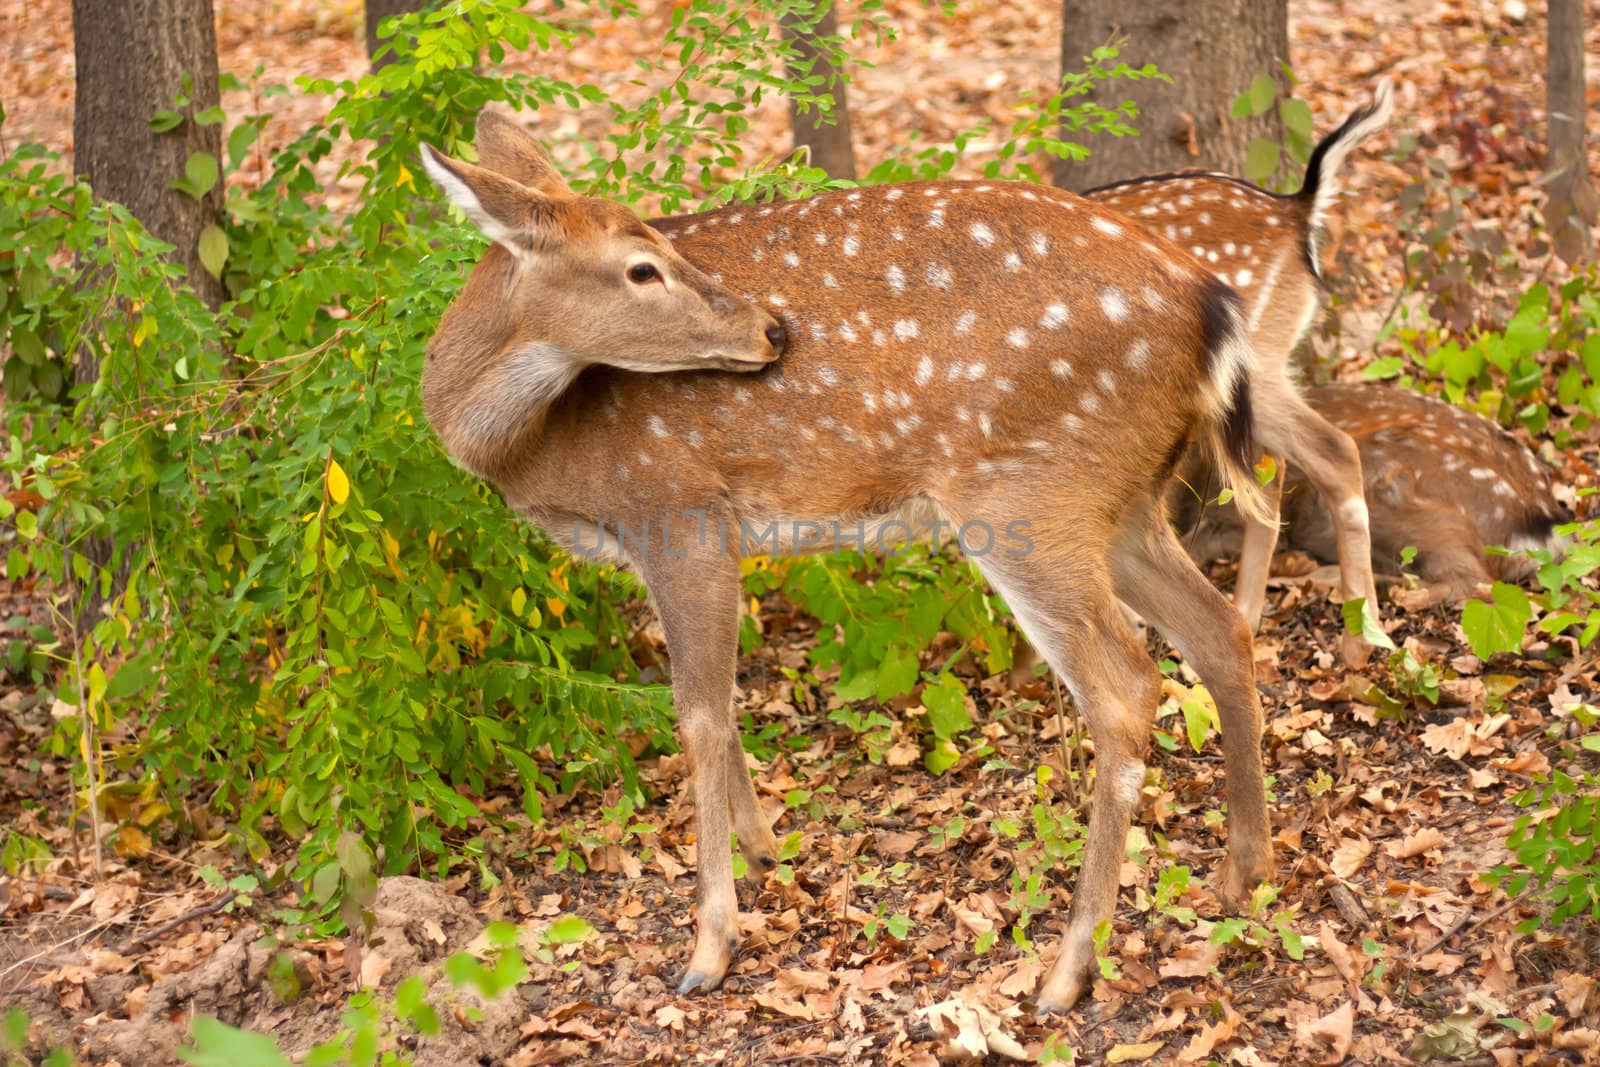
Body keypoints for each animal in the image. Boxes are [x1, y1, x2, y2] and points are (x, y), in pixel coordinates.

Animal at [422, 110, 1273, 1017]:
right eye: (641, 264)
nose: (771, 328)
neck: (531, 451)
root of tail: (1215, 308)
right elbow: (721, 708)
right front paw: (766, 852)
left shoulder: (679, 513)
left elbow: (699, 717)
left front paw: (710, 945)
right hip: (1123, 500)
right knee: (1220, 629)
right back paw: (1244, 870)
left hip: (1026, 491)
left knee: (1126, 686)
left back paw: (1068, 968)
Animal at [1081, 81, 1395, 659]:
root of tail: (1297, 210)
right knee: (1272, 469)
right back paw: (1252, 618)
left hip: (1250, 362)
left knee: (1333, 450)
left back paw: (1359, 642)